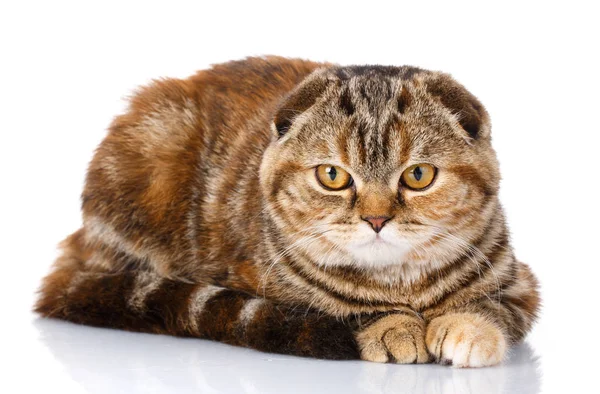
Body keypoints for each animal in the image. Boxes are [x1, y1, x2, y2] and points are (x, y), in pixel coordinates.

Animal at [34, 55, 540, 366]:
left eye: (418, 175)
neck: (400, 284)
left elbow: (494, 307)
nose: (376, 219)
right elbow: (347, 309)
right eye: (333, 175)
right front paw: (392, 327)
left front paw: (468, 329)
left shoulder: (523, 286)